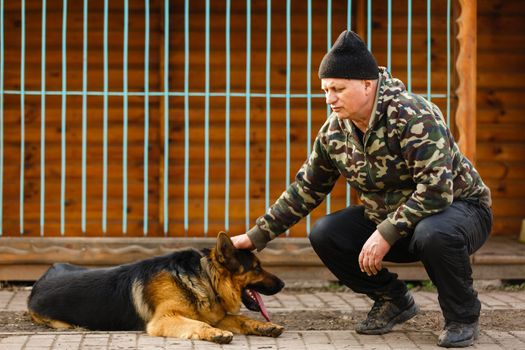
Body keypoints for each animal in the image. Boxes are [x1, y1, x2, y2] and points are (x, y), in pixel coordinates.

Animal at [27, 231, 284, 344]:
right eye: (257, 268)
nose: (283, 284)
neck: (204, 277)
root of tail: (41, 278)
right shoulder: (164, 319)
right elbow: (198, 324)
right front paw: (214, 333)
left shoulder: (217, 316)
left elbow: (242, 320)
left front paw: (265, 326)